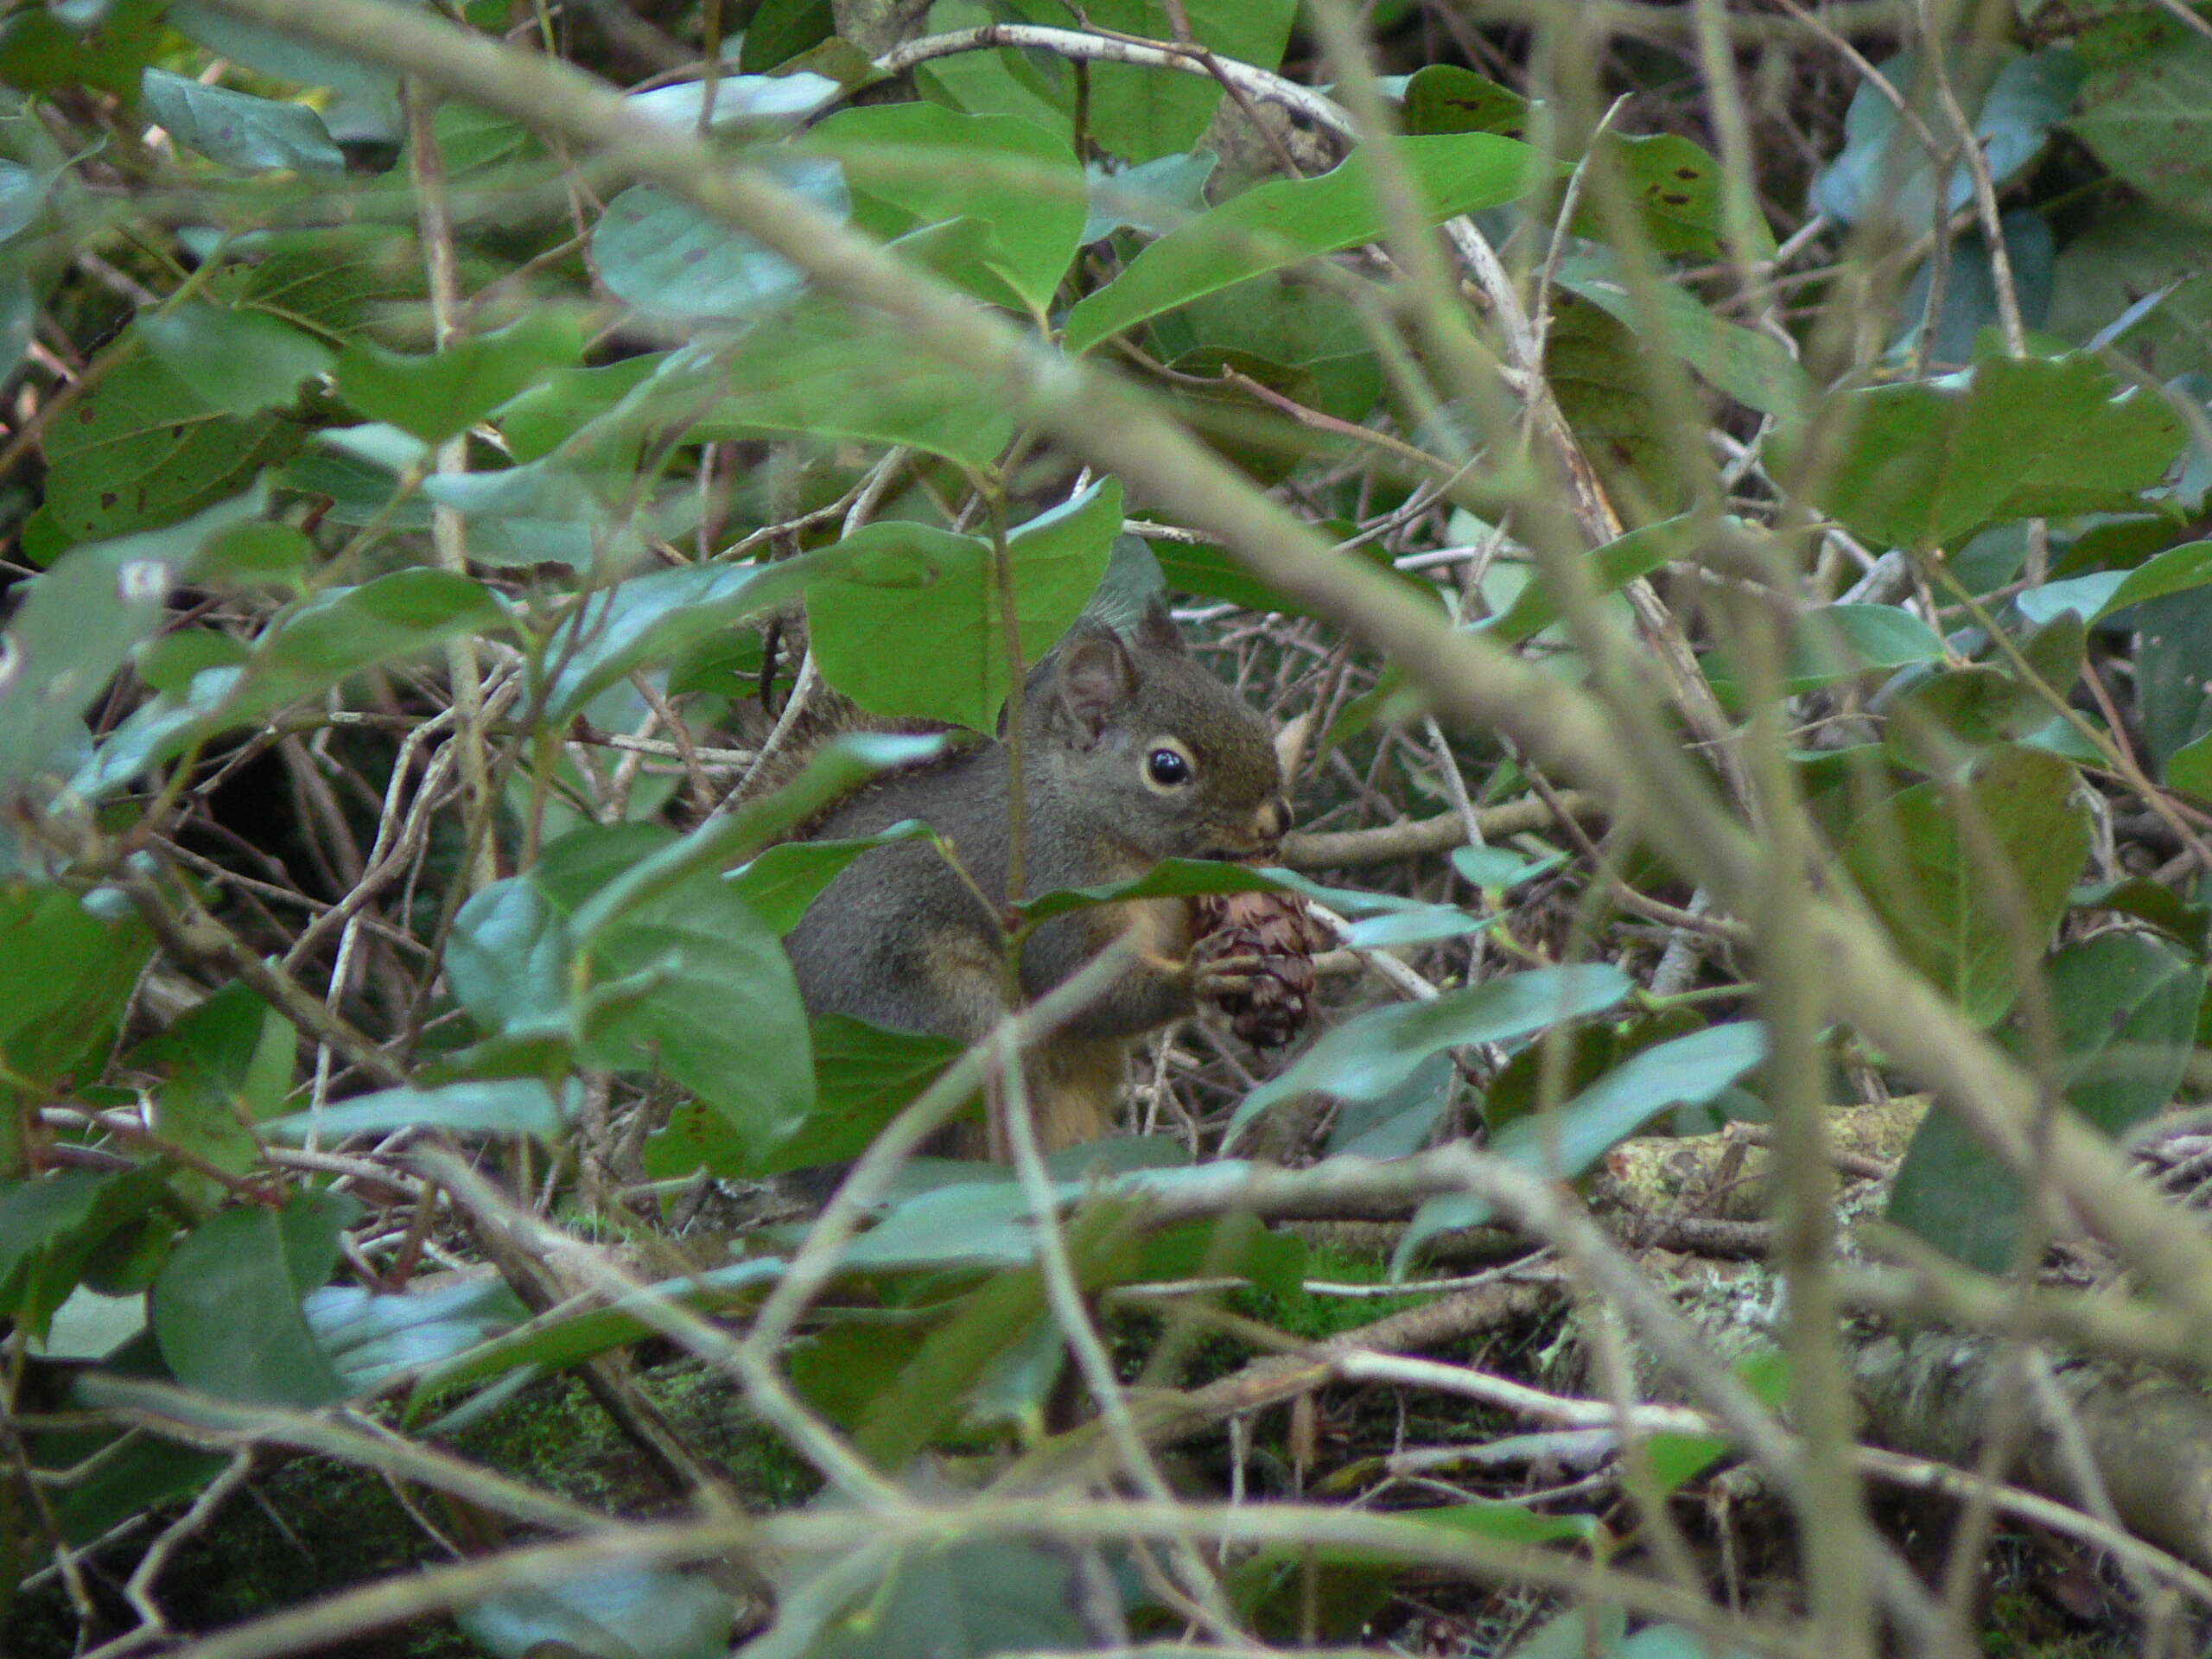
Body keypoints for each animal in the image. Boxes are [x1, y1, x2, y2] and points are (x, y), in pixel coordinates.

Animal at [783, 597, 1292, 1159]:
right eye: (1167, 767)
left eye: (1250, 714)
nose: (1278, 820)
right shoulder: (1049, 890)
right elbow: (1084, 988)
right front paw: (1199, 977)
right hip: (939, 1015)